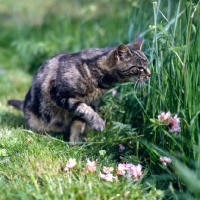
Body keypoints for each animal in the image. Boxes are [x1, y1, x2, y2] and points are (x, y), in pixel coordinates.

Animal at [8, 37, 151, 143]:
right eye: (140, 68)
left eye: (147, 64)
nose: (150, 74)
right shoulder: (59, 93)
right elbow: (83, 109)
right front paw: (98, 123)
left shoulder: (92, 102)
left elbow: (79, 121)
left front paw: (75, 142)